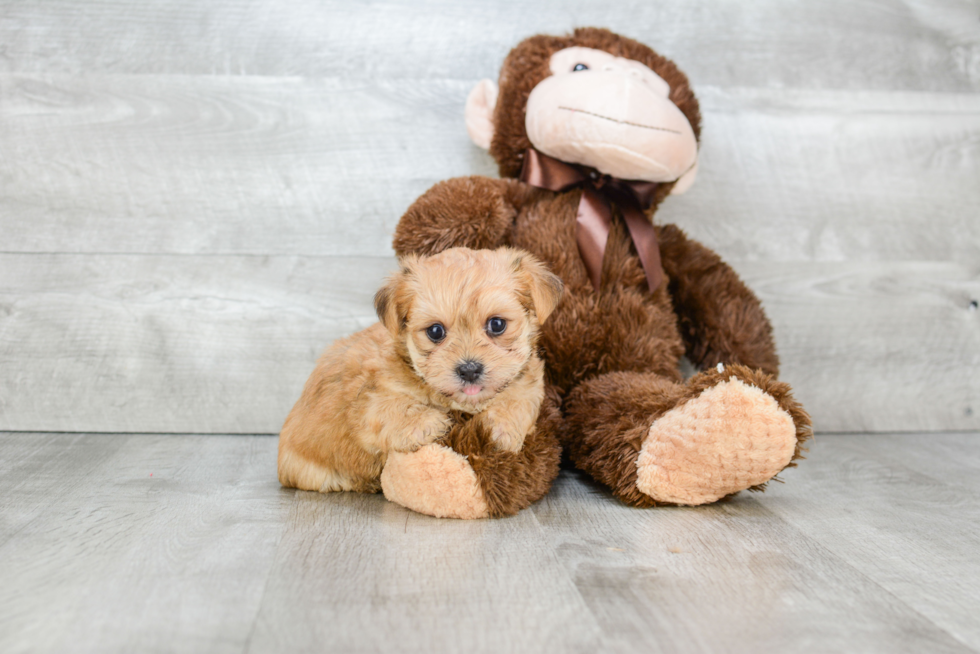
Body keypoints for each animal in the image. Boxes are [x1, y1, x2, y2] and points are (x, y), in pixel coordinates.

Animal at [280, 249, 564, 494]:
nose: (469, 369)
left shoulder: (530, 381)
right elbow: (394, 410)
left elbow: (519, 398)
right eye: (435, 331)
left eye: (497, 324)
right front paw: (434, 421)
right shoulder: (370, 402)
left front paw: (502, 427)